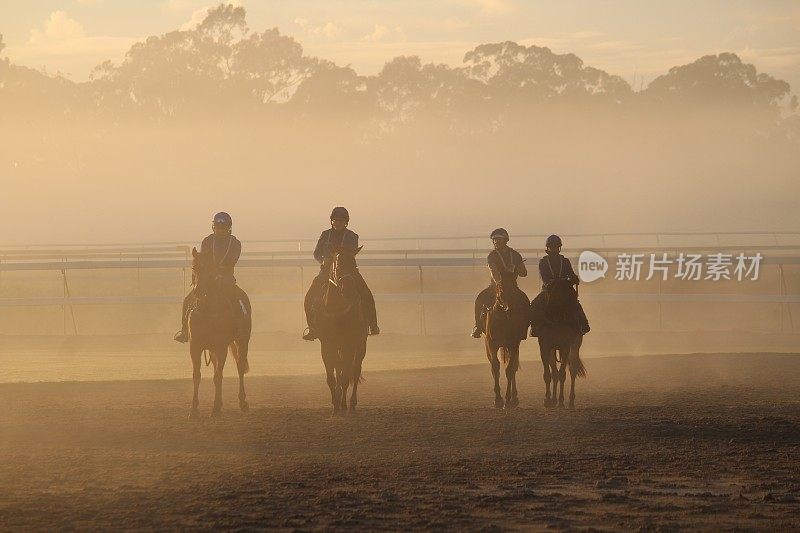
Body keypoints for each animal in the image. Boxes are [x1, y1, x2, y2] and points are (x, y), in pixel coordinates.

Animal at [187, 247, 252, 418]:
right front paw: (194, 408)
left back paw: (243, 402)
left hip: (242, 341)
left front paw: (215, 407)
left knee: (240, 367)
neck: (208, 310)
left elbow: (218, 376)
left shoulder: (221, 346)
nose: (198, 291)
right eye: (194, 267)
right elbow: (197, 375)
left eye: (210, 269)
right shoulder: (195, 346)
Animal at [318, 243, 370, 414]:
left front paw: (343, 404)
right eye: (338, 264)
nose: (348, 289)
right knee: (339, 368)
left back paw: (351, 403)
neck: (338, 311)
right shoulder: (327, 345)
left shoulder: (349, 344)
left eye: (354, 264)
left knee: (355, 370)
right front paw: (335, 404)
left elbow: (346, 376)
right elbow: (332, 376)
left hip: (360, 345)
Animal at [482, 278, 532, 408]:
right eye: (501, 290)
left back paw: (514, 398)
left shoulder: (513, 344)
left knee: (513, 367)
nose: (510, 310)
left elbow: (509, 370)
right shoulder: (491, 345)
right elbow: (495, 368)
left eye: (513, 290)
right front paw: (498, 400)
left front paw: (509, 400)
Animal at [532, 278, 588, 408]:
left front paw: (561, 401)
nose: (550, 312)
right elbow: (548, 375)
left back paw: (571, 401)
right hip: (553, 350)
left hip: (576, 346)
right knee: (554, 373)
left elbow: (563, 374)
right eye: (550, 291)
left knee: (572, 370)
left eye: (568, 292)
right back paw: (554, 400)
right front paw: (548, 400)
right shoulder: (545, 346)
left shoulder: (566, 346)